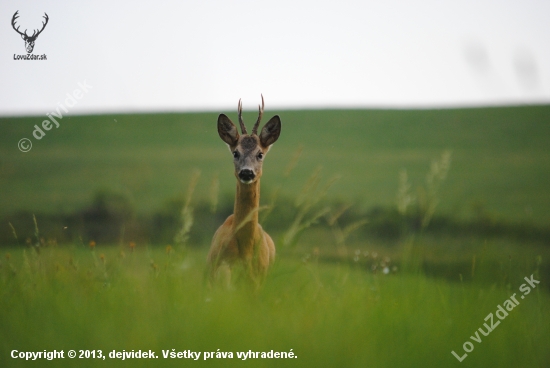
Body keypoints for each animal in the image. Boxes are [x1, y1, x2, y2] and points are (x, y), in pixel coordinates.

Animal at [208, 95, 282, 288]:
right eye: (235, 153)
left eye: (260, 154)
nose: (246, 172)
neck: (246, 251)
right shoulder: (223, 270)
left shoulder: (258, 279)